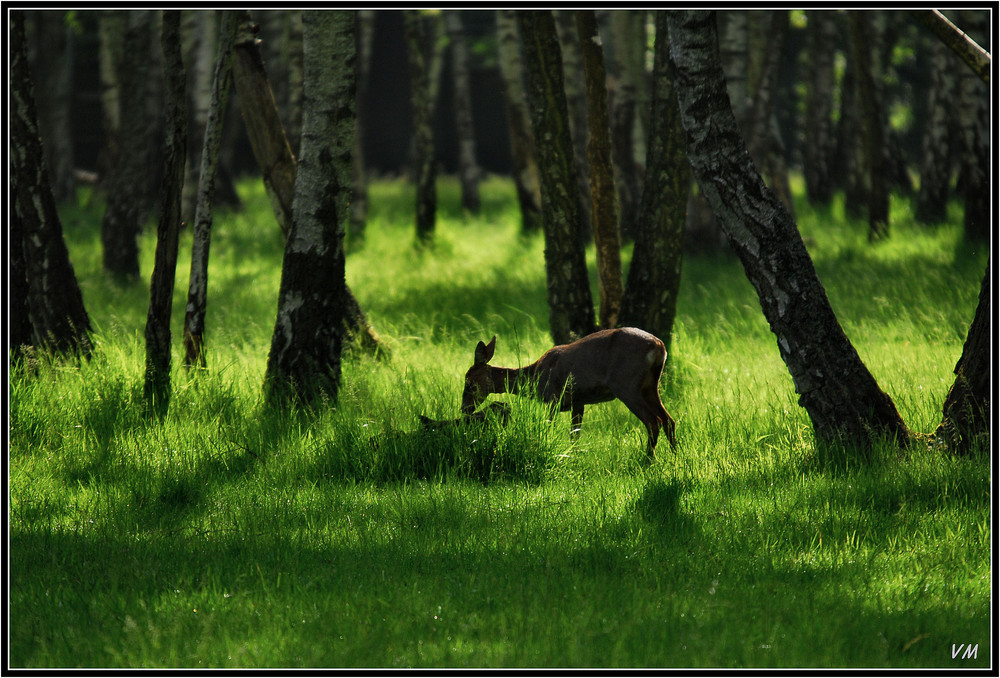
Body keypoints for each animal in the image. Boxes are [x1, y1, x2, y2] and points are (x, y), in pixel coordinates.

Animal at [462, 328, 680, 460]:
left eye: (469, 383)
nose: (464, 409)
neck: (534, 378)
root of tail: (659, 346)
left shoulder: (552, 398)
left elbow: (549, 428)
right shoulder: (578, 401)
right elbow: (575, 435)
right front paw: (573, 457)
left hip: (626, 385)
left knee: (653, 421)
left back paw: (648, 459)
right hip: (650, 386)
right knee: (669, 420)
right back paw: (676, 456)